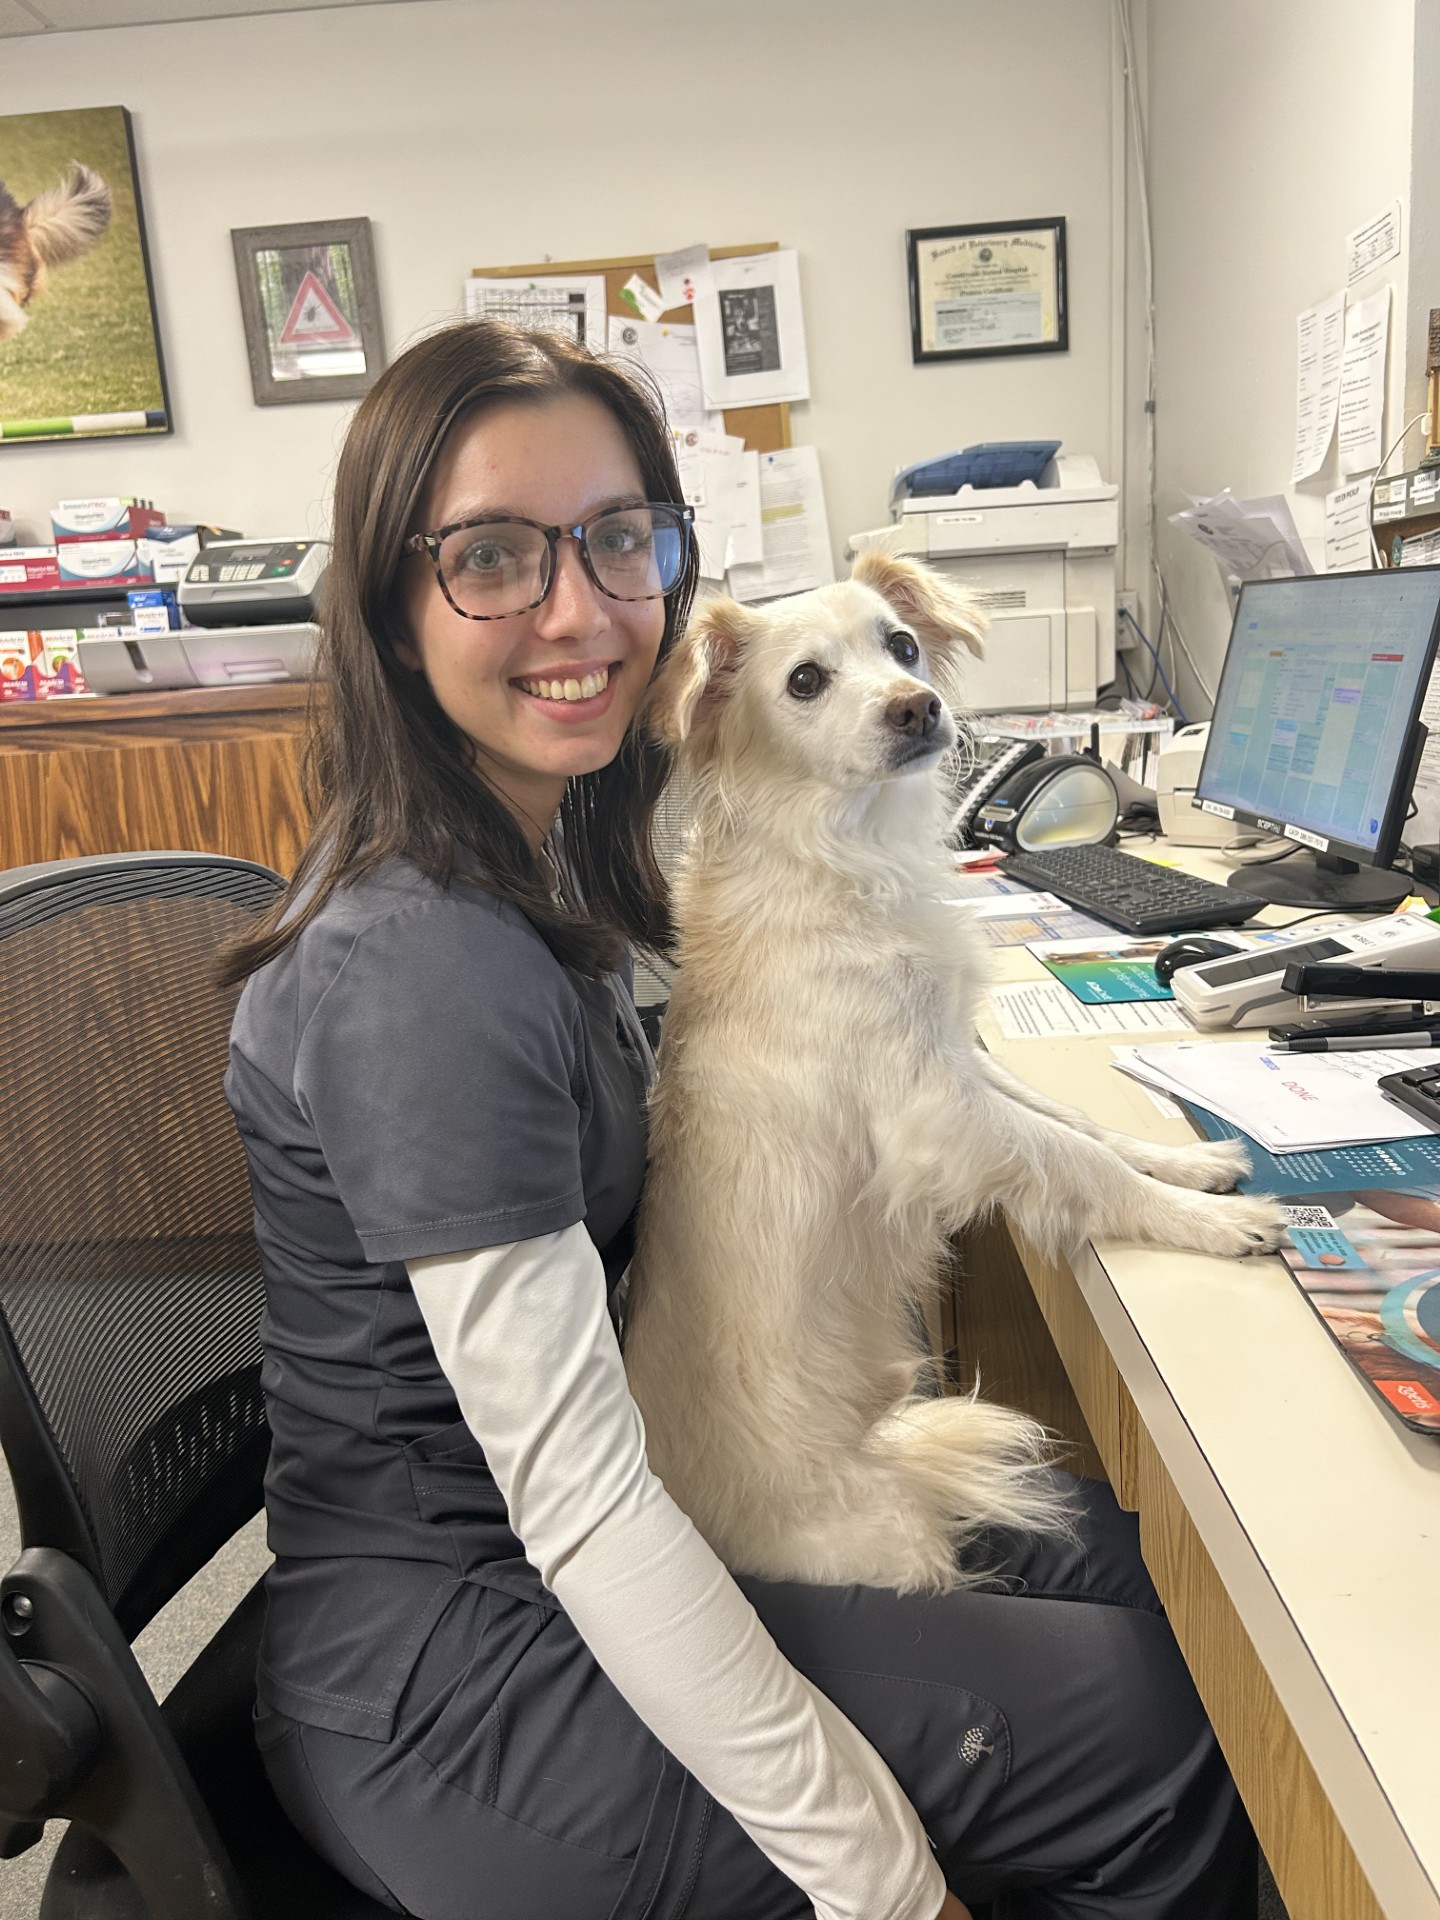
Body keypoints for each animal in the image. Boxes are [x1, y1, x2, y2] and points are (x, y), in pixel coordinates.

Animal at [621, 551, 1288, 1595]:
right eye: (804, 681)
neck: (853, 852)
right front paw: (1211, 1222)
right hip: (885, 1539)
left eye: (901, 646)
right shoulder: (936, 1111)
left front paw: (1188, 1164)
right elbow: (1075, 1162)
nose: (917, 705)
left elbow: (1078, 1125)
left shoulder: (957, 1059)